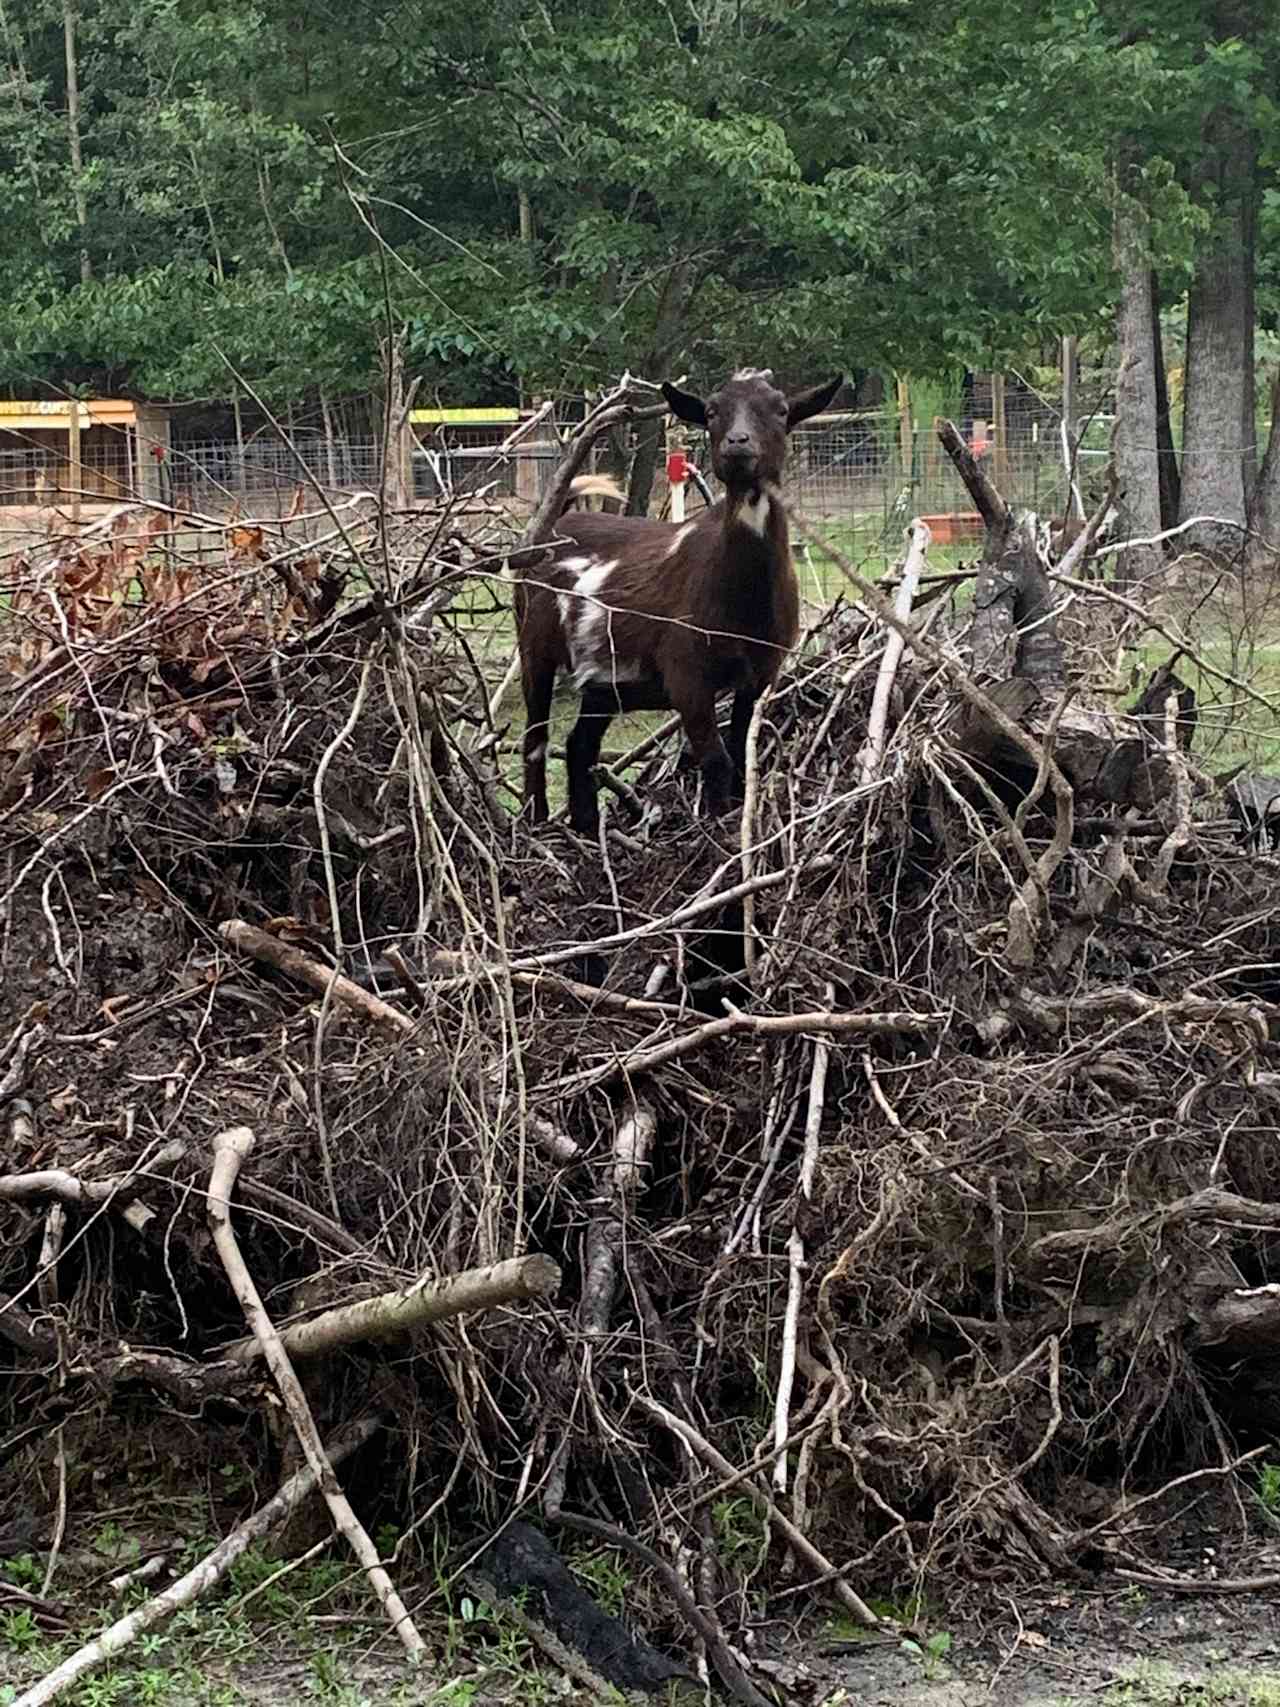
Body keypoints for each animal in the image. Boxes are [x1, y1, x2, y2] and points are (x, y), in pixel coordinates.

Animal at [515, 370, 846, 836]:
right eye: (710, 410)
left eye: (781, 410)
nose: (738, 444)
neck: (742, 602)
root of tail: (557, 522)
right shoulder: (687, 674)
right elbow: (716, 760)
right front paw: (716, 829)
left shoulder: (760, 674)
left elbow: (739, 755)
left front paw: (736, 818)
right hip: (533, 646)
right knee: (535, 739)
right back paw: (537, 823)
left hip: (606, 682)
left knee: (579, 745)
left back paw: (587, 828)